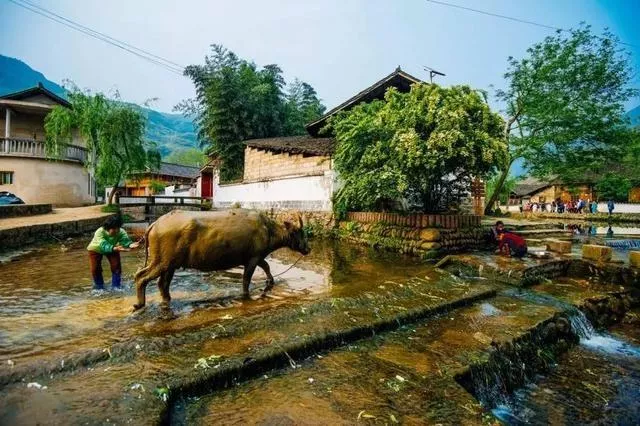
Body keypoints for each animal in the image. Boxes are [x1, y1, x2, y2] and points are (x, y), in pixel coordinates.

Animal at [133, 210, 310, 310]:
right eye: (300, 232)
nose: (308, 249)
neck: (268, 229)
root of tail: (156, 223)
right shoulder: (253, 259)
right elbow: (246, 279)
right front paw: (246, 294)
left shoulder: (256, 257)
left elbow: (266, 266)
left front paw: (271, 281)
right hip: (161, 261)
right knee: (141, 276)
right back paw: (139, 304)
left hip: (170, 264)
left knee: (162, 283)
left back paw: (166, 300)